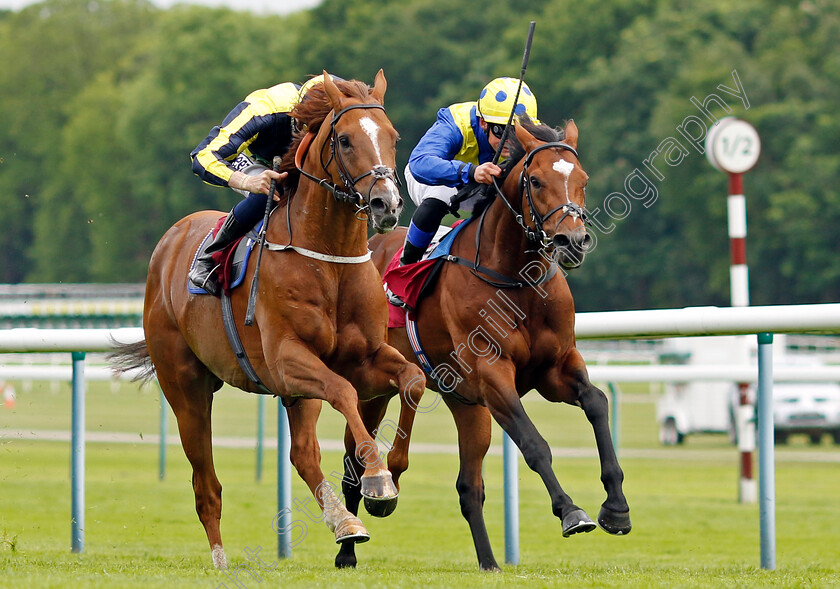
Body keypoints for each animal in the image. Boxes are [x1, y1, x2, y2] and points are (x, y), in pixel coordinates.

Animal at [110, 71, 426, 568]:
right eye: (344, 139)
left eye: (392, 137)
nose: (386, 203)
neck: (329, 261)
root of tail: (170, 241)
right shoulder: (288, 359)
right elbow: (344, 392)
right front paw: (375, 476)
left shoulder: (365, 357)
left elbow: (413, 379)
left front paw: (388, 474)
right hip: (185, 387)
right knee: (206, 484)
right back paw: (221, 560)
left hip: (292, 394)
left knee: (303, 455)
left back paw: (344, 524)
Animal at [334, 116, 632, 568]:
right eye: (537, 181)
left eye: (582, 179)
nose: (573, 241)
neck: (517, 279)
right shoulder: (493, 375)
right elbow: (534, 443)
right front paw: (570, 511)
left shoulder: (556, 368)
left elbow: (597, 402)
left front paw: (616, 507)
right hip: (373, 385)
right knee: (355, 457)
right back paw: (351, 544)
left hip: (465, 405)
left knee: (468, 487)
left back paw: (489, 562)